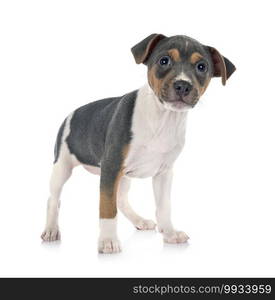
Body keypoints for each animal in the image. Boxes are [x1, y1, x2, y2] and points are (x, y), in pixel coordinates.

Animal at [41, 33, 237, 253]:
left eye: (201, 67)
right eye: (164, 61)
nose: (183, 85)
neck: (163, 118)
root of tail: (71, 114)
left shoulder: (163, 173)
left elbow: (164, 206)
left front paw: (170, 233)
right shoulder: (111, 167)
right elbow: (107, 208)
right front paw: (108, 240)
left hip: (124, 177)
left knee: (121, 200)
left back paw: (139, 220)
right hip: (62, 167)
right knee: (53, 199)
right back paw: (51, 229)